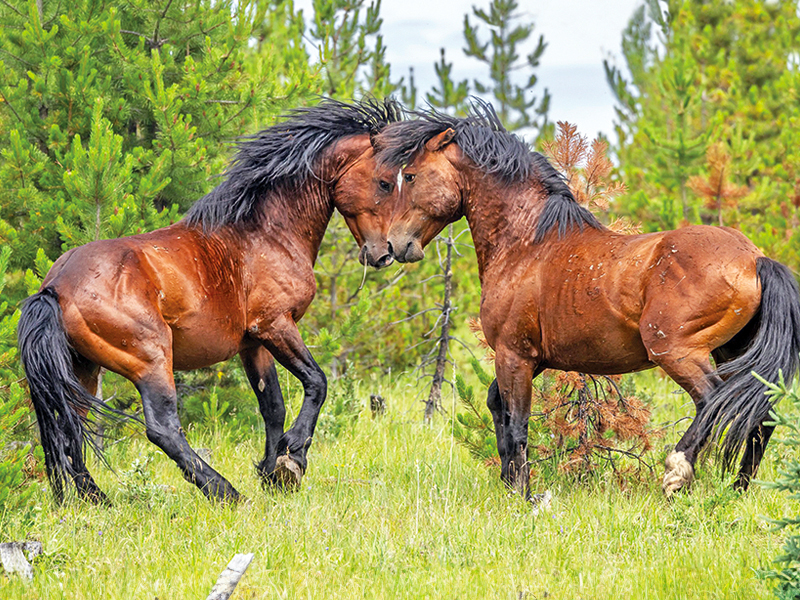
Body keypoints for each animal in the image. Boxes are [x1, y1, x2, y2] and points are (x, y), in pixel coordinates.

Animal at [17, 97, 403, 504]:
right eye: (383, 182)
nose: (385, 253)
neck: (265, 232)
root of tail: (54, 288)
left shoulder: (254, 343)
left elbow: (272, 406)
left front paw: (272, 473)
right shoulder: (277, 325)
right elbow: (317, 381)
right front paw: (293, 458)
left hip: (83, 367)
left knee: (68, 424)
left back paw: (93, 501)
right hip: (151, 359)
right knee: (161, 428)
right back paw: (225, 492)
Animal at [375, 100, 800, 499]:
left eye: (409, 176)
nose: (394, 246)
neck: (527, 243)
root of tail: (755, 258)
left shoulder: (514, 355)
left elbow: (517, 426)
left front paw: (523, 497)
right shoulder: (534, 359)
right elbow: (499, 410)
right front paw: (512, 485)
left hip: (678, 351)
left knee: (715, 401)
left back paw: (677, 474)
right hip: (731, 351)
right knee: (757, 415)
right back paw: (738, 490)